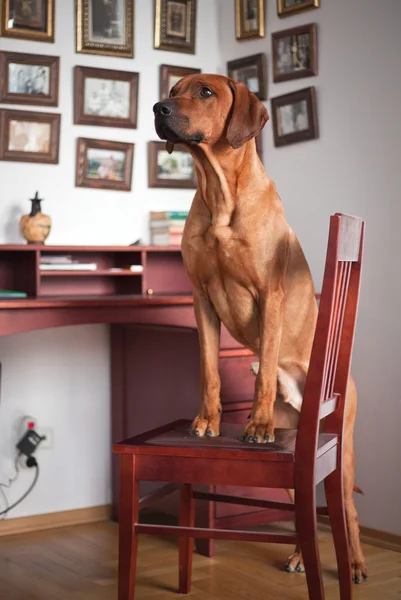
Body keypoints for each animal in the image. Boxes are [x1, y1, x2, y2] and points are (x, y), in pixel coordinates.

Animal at [152, 74, 366, 580]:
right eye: (174, 88)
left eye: (205, 92)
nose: (158, 109)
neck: (219, 193)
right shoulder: (201, 299)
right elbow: (210, 370)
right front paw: (208, 421)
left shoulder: (270, 296)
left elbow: (265, 369)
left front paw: (258, 423)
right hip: (294, 465)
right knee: (299, 507)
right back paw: (299, 555)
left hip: (341, 449)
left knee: (347, 509)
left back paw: (355, 563)